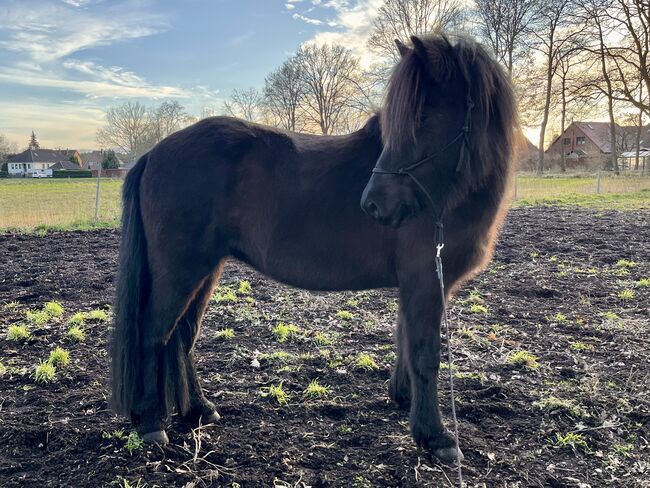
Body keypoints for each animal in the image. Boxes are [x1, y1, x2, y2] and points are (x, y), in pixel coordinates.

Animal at [110, 33, 516, 462]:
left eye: (422, 116)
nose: (373, 203)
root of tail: (152, 153)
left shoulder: (418, 284)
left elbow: (404, 340)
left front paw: (404, 400)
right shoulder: (425, 281)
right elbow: (426, 354)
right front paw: (436, 436)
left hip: (205, 268)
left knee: (181, 336)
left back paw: (199, 410)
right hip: (180, 270)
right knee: (154, 334)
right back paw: (151, 423)